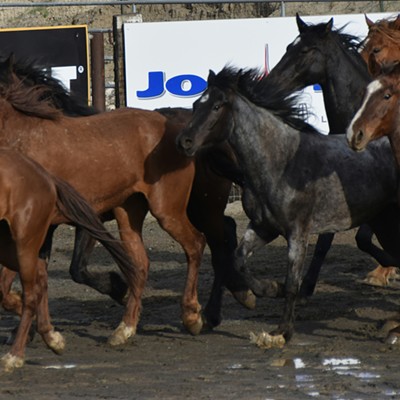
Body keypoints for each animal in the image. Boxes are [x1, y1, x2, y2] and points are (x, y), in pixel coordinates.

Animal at [0, 54, 253, 334]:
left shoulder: (82, 217)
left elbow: (77, 268)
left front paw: (119, 290)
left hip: (193, 207)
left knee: (212, 242)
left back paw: (215, 308)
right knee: (225, 232)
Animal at [0, 148, 136, 374]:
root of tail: (44, 174)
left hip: (23, 244)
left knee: (32, 294)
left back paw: (15, 356)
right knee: (40, 282)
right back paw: (49, 336)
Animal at [177, 66, 400, 346]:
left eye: (217, 106)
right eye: (196, 104)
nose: (184, 141)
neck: (282, 162)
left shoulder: (298, 232)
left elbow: (293, 281)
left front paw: (282, 331)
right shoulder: (263, 227)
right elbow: (238, 260)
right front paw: (267, 291)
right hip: (385, 222)